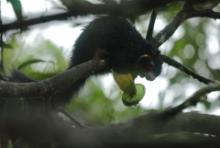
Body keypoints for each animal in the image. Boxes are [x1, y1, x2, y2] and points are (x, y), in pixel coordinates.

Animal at [9, 15, 162, 106]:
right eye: (151, 66)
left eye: (157, 73)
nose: (151, 78)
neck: (141, 49)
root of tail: (76, 58)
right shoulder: (126, 53)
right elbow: (119, 65)